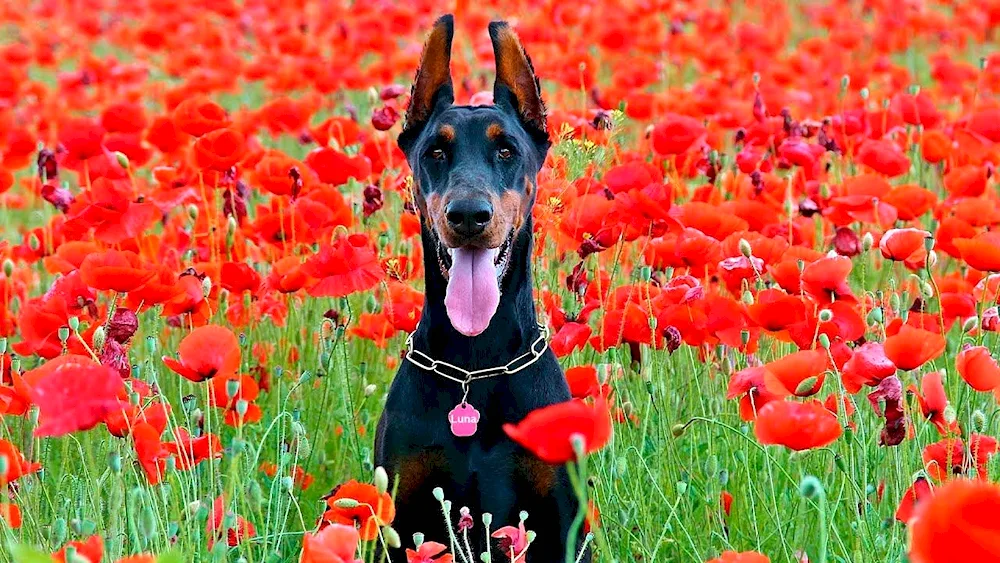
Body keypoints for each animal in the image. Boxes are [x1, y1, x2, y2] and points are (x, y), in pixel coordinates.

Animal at [376, 14, 588, 563]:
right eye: (435, 150)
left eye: (506, 149)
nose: (469, 215)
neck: (476, 365)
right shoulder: (400, 514)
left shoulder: (563, 519)